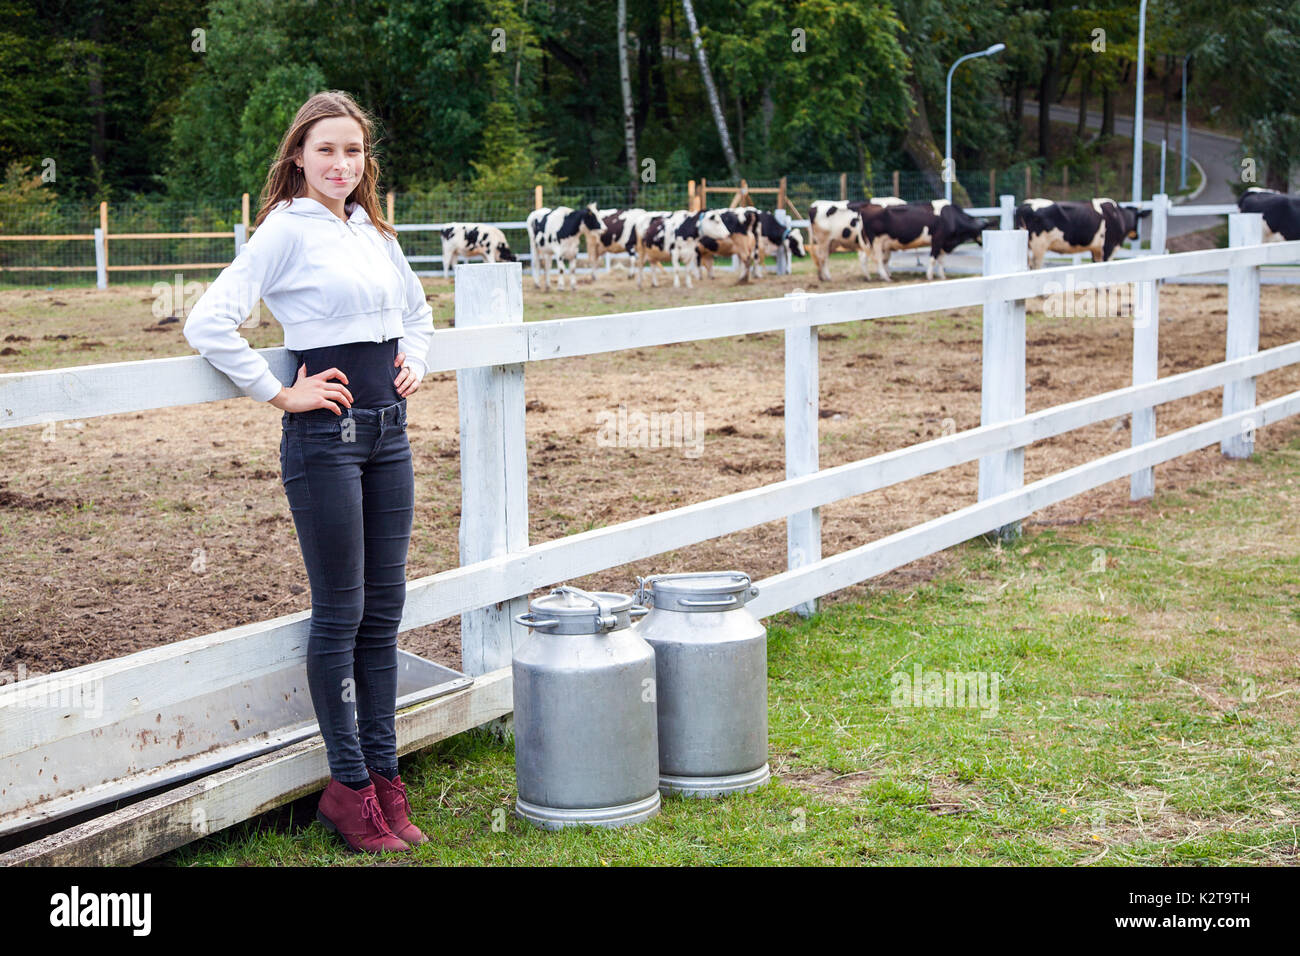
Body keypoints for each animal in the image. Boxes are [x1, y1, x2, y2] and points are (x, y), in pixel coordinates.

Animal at [863, 197, 993, 280]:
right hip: (876, 241)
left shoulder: (943, 243)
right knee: (878, 259)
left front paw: (942, 276)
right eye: (982, 231)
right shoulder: (937, 239)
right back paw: (885, 277)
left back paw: (872, 276)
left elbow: (941, 260)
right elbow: (933, 258)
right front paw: (930, 276)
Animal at [1013, 197, 1149, 270]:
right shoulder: (1109, 246)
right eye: (1138, 219)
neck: (1119, 215)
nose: (1137, 236)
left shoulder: (1096, 248)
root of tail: (1024, 205)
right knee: (1036, 265)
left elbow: (1096, 263)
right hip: (1039, 245)